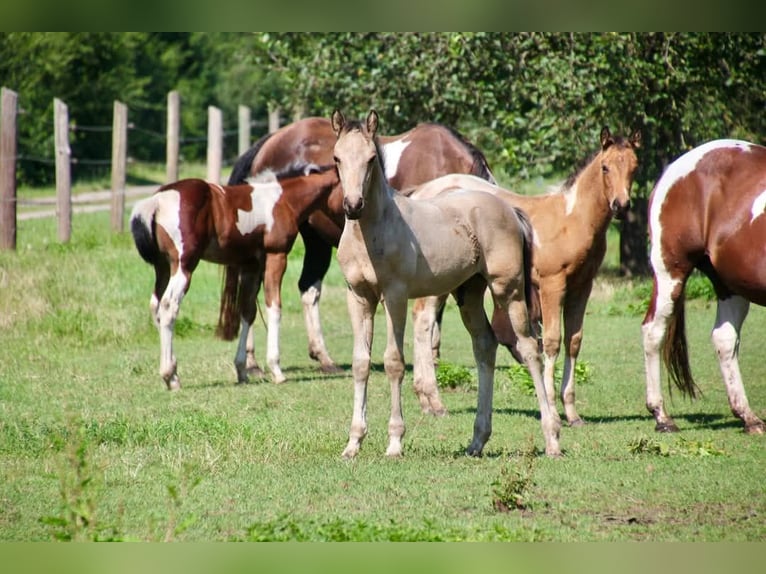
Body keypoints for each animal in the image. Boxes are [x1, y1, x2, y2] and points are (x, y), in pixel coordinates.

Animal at [130, 166, 340, 392]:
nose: (352, 211)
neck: (282, 199)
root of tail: (156, 201)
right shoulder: (276, 256)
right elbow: (274, 306)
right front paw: (276, 369)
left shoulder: (251, 266)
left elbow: (247, 311)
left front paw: (242, 370)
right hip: (183, 265)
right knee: (169, 307)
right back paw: (170, 376)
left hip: (162, 267)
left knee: (156, 306)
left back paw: (173, 372)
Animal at [222, 116, 498, 382]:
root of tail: (270, 142)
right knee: (253, 293)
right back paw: (252, 364)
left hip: (316, 240)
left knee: (306, 288)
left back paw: (322, 358)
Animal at [332, 110, 560, 462]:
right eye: (337, 158)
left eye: (371, 159)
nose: (353, 205)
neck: (373, 232)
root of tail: (510, 210)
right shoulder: (358, 296)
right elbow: (360, 363)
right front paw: (353, 443)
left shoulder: (394, 295)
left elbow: (394, 362)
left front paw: (394, 442)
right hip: (469, 293)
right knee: (485, 345)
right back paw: (477, 441)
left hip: (507, 289)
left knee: (529, 348)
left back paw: (552, 439)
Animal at [408, 129, 640, 428]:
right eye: (605, 167)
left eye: (634, 167)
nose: (621, 205)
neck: (572, 219)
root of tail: (422, 193)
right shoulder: (552, 285)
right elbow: (551, 341)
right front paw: (552, 409)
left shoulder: (581, 287)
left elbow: (574, 341)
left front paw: (572, 413)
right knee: (424, 321)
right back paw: (434, 402)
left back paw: (426, 401)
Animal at [640, 141, 766, 436]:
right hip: (671, 271)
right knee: (653, 331)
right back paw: (661, 416)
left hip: (729, 283)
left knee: (724, 338)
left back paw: (749, 417)